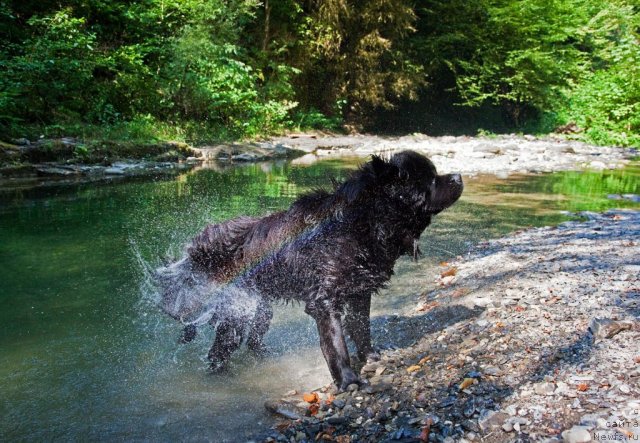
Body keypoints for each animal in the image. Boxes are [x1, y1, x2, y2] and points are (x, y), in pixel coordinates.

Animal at [157, 151, 462, 390]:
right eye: (431, 179)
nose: (458, 176)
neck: (364, 220)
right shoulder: (324, 301)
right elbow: (337, 344)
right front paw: (348, 380)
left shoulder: (359, 292)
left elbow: (362, 328)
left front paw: (372, 356)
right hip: (235, 314)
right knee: (219, 352)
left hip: (260, 309)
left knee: (252, 341)